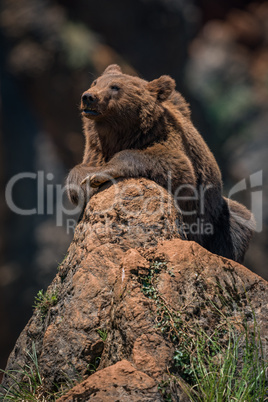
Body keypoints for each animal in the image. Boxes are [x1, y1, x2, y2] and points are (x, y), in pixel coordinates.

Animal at [67, 64, 255, 262]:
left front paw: (99, 175)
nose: (88, 97)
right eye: (95, 82)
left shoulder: (167, 141)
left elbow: (177, 168)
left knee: (237, 222)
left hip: (214, 216)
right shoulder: (96, 149)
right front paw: (83, 184)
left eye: (115, 86)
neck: (122, 134)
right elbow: (79, 171)